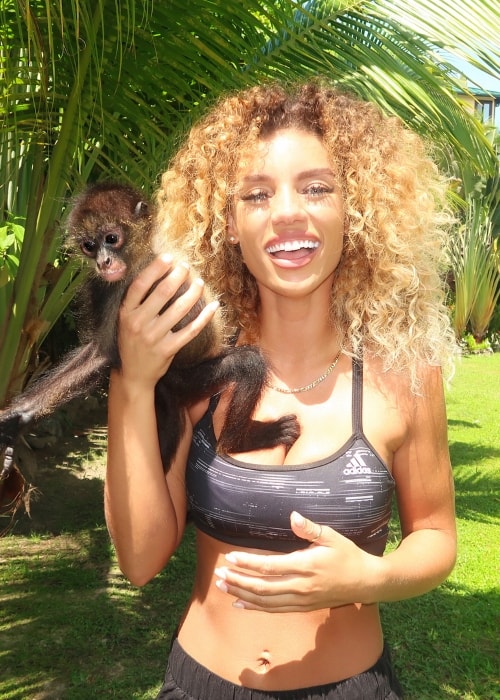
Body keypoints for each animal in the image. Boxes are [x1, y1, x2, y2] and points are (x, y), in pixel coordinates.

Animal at [0, 183, 300, 484]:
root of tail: (168, 383)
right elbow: (101, 353)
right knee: (248, 364)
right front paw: (20, 416)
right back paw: (239, 442)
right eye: (89, 246)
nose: (103, 262)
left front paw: (18, 417)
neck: (144, 260)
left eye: (111, 239)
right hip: (190, 379)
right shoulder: (107, 287)